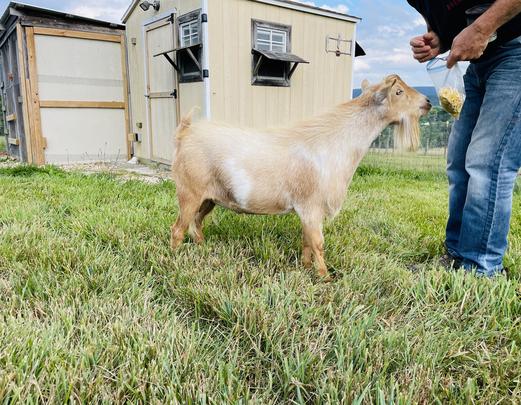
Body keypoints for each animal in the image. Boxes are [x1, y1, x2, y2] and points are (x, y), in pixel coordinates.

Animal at [170, 74, 430, 280]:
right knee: (178, 228)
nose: (427, 103)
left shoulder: (308, 210)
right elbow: (318, 243)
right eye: (398, 91)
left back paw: (202, 247)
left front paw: (305, 268)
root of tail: (185, 132)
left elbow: (306, 241)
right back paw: (175, 259)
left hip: (209, 198)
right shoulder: (311, 206)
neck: (335, 143)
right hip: (190, 192)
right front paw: (325, 278)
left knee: (196, 222)